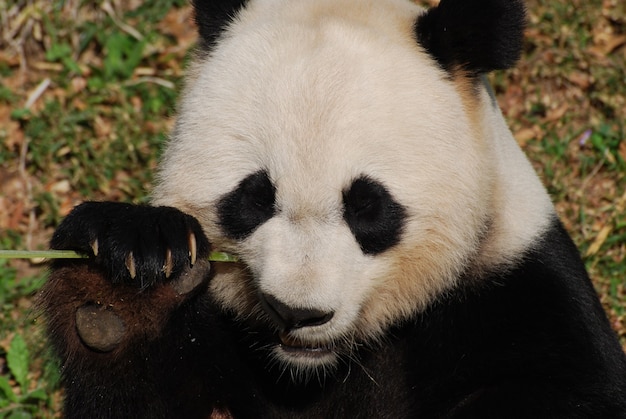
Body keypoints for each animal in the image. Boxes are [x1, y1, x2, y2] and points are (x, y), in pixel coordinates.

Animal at [41, 0, 624, 416]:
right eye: (254, 198)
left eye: (368, 207)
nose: (297, 313)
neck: (314, 368)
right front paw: (123, 282)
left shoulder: (517, 289)